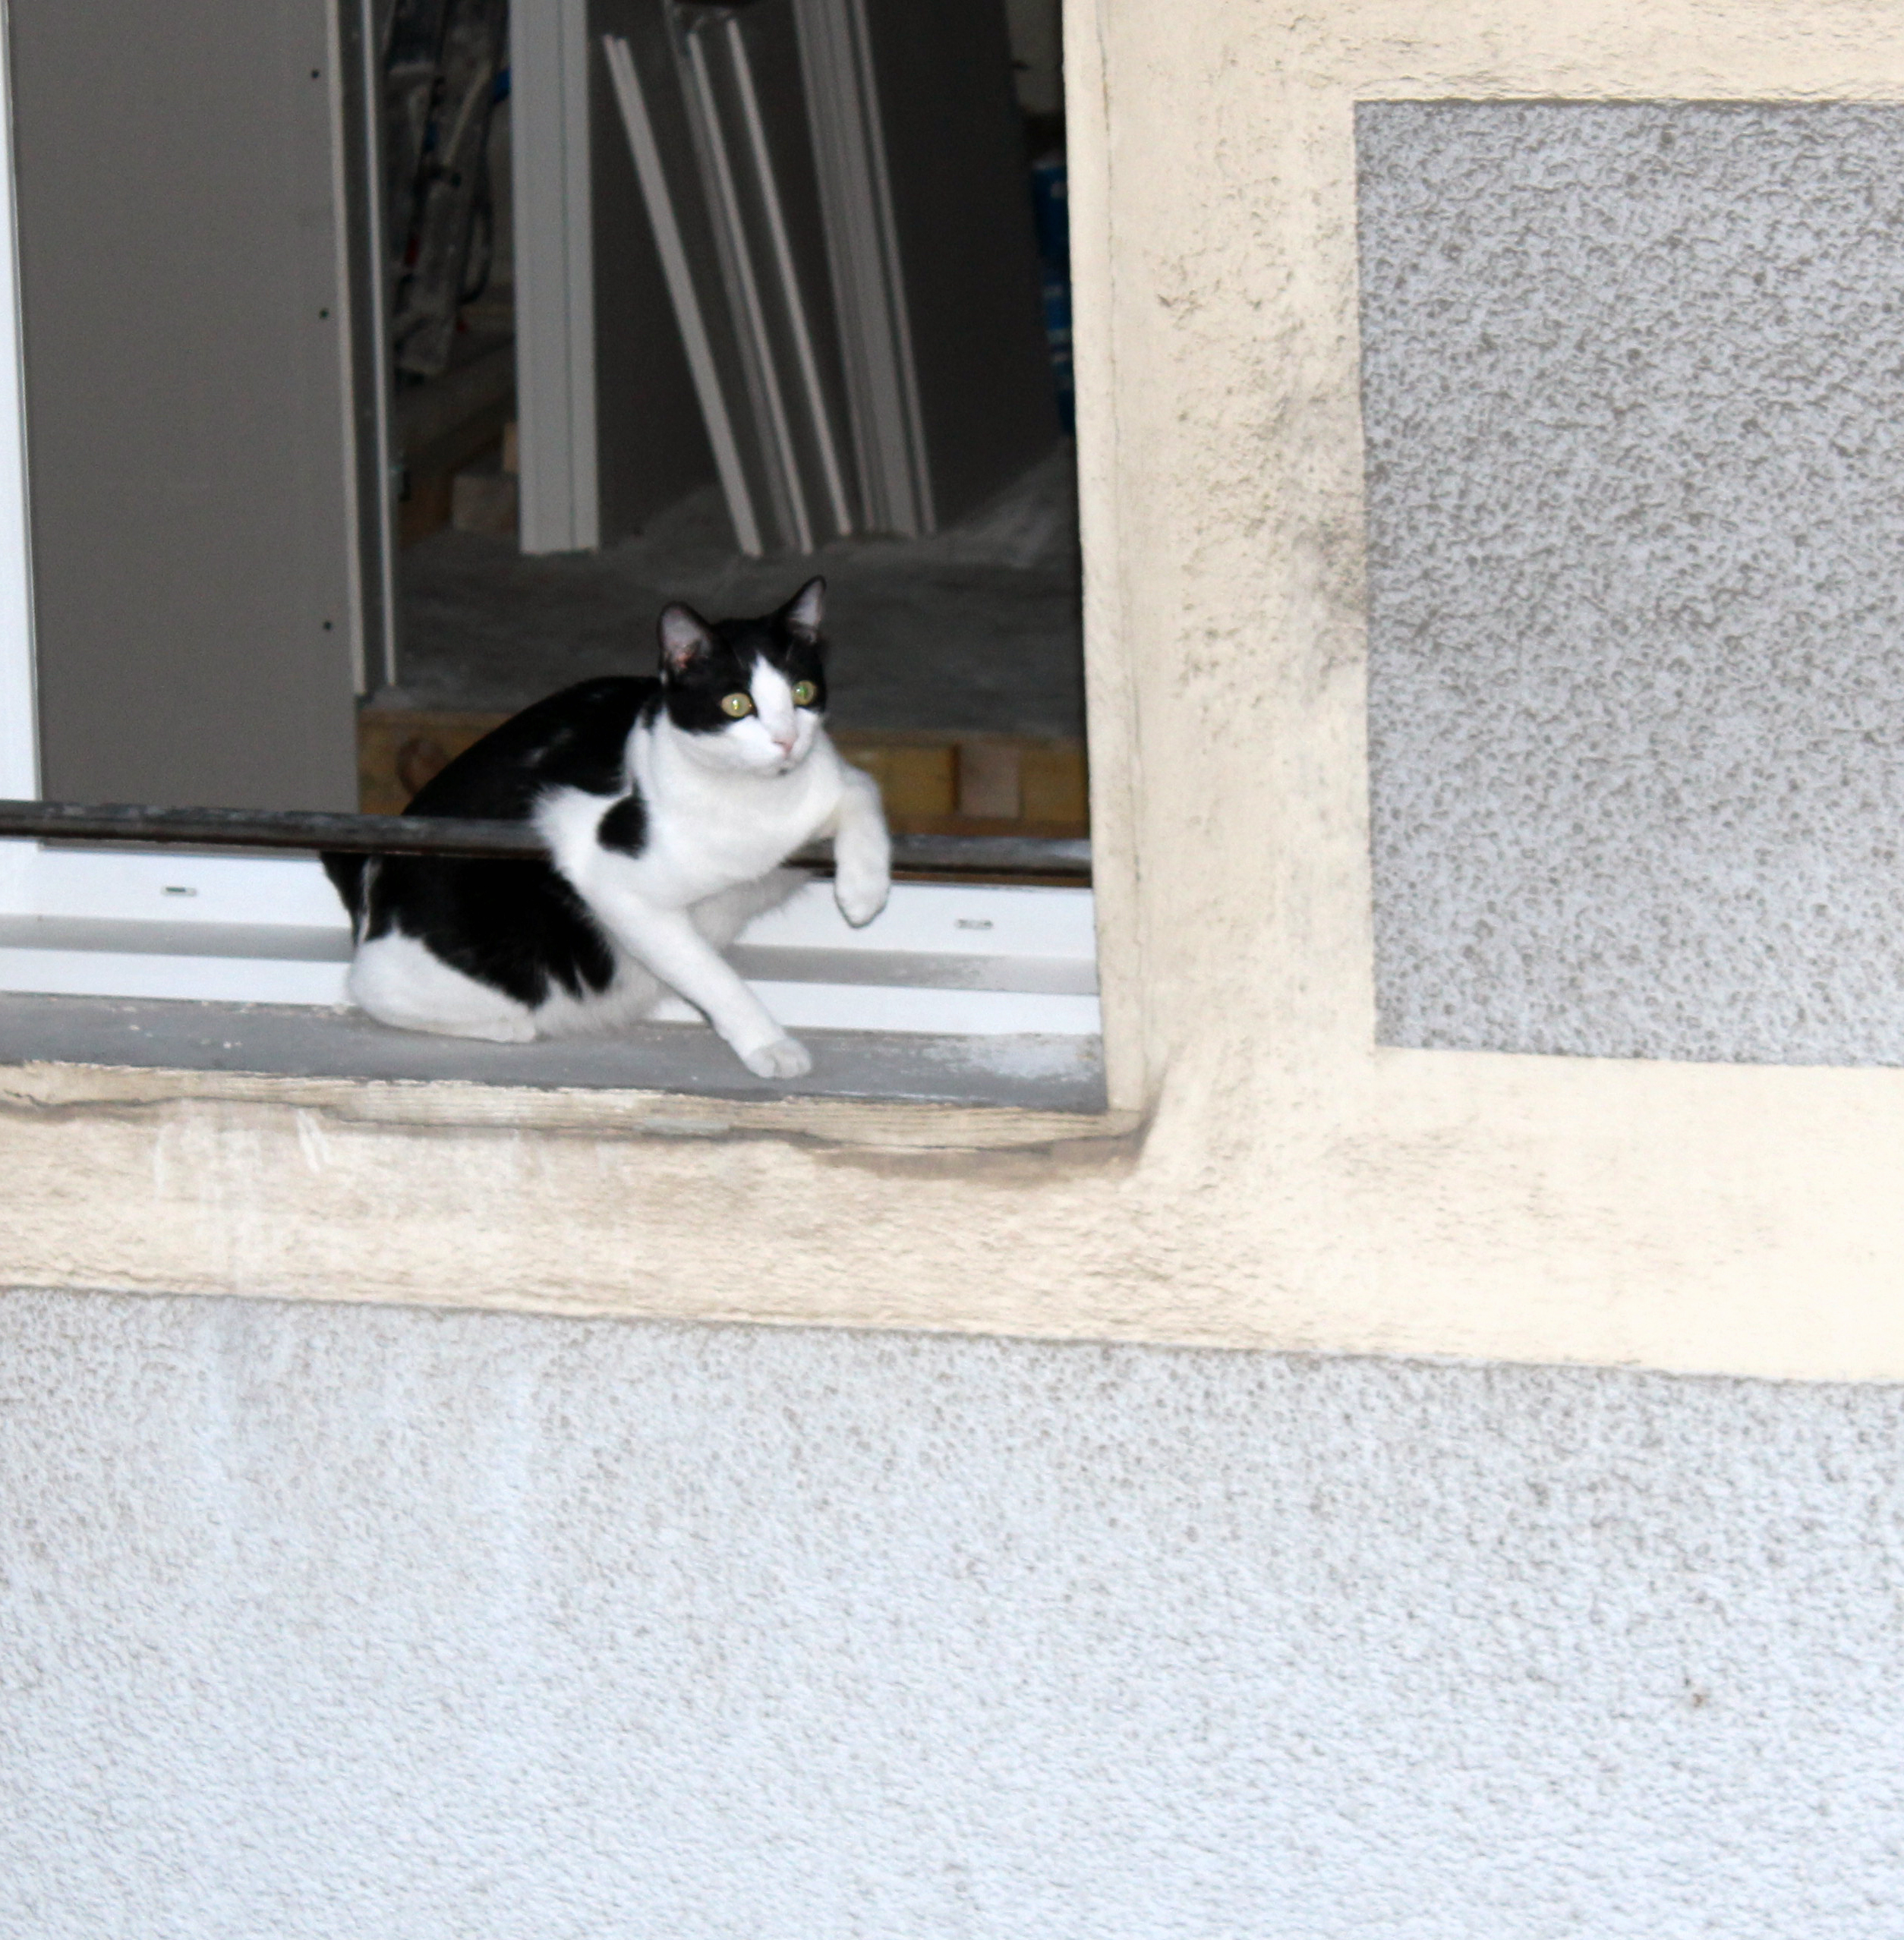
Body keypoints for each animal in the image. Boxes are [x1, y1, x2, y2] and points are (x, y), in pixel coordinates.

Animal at [322, 577, 889, 1078]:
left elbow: (864, 792)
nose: (787, 741)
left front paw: (864, 893)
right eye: (737, 705)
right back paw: (506, 1024)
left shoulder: (832, 777)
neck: (757, 799)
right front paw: (770, 1044)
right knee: (371, 986)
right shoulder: (615, 881)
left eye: (803, 691)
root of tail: (369, 879)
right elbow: (711, 973)